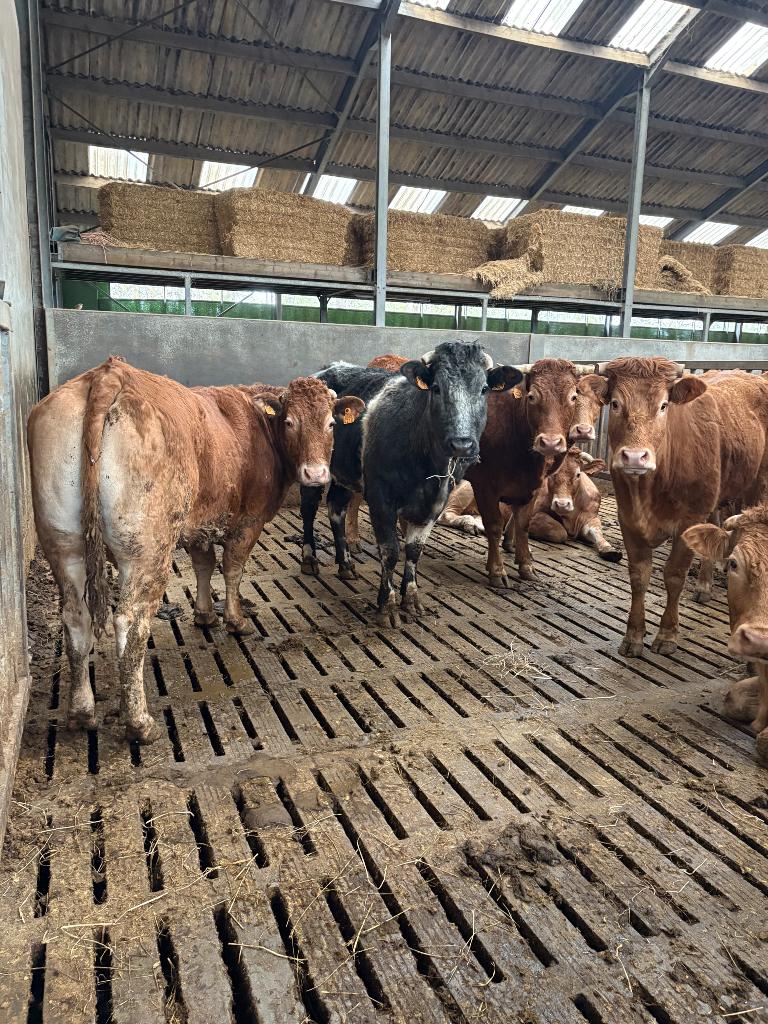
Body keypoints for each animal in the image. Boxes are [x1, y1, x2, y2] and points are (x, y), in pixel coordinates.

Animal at [27, 356, 363, 743]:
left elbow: (204, 565)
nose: (316, 474)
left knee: (75, 617)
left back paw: (82, 712)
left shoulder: (201, 522)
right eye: (289, 421)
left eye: (330, 423)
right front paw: (235, 620)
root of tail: (109, 374)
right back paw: (139, 722)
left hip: (64, 545)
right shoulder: (248, 521)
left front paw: (204, 615)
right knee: (130, 623)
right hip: (147, 551)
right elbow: (232, 569)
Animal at [300, 342, 521, 624]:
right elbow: (391, 551)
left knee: (336, 509)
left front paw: (412, 598)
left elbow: (414, 549)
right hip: (313, 466)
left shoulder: (436, 502)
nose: (462, 444)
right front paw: (388, 604)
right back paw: (309, 559)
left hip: (344, 473)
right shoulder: (380, 498)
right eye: (436, 388)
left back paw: (346, 564)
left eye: (483, 389)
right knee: (309, 509)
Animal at [465, 359, 603, 587]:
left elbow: (523, 524)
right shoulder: (484, 485)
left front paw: (526, 566)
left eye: (573, 397)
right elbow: (494, 526)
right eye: (532, 397)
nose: (550, 442)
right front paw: (497, 571)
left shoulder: (532, 486)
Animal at [584, 358, 768, 657]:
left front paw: (667, 635)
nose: (634, 457)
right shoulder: (628, 519)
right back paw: (704, 585)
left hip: (756, 484)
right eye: (615, 403)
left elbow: (674, 575)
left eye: (663, 405)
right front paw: (633, 636)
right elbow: (639, 575)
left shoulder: (688, 521)